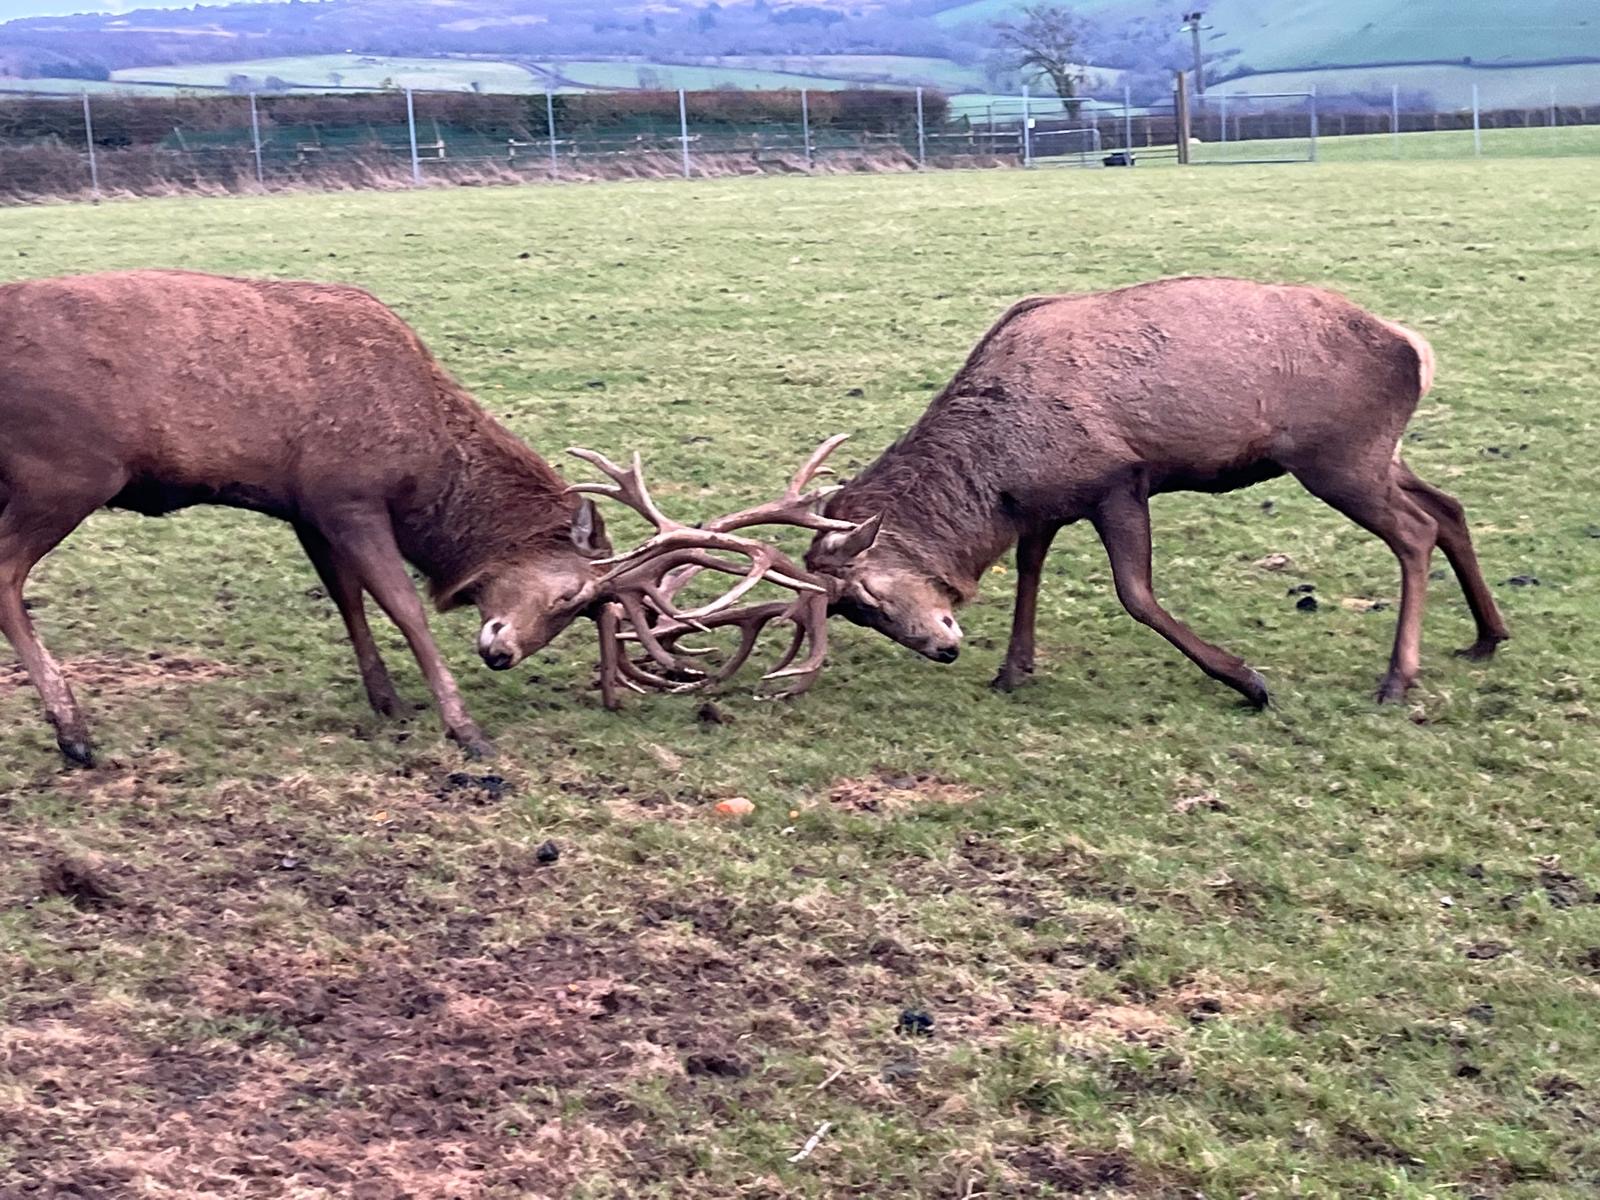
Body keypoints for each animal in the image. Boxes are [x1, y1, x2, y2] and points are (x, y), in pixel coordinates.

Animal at [1, 269, 619, 766]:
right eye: (571, 595)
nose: (502, 656)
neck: (430, 467)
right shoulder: (350, 496)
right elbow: (405, 609)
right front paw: (465, 728)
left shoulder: (308, 509)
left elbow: (347, 599)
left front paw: (389, 702)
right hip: (65, 475)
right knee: (5, 574)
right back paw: (73, 731)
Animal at [801, 277, 1510, 707]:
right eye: (854, 613)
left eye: (864, 596)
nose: (941, 650)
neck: (997, 472)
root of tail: (1414, 349)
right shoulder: (1045, 503)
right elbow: (1029, 570)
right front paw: (1013, 670)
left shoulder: (1118, 479)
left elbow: (1135, 594)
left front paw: (1247, 680)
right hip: (1378, 454)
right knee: (1448, 507)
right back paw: (1486, 638)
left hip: (1338, 458)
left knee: (1415, 531)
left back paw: (1398, 678)